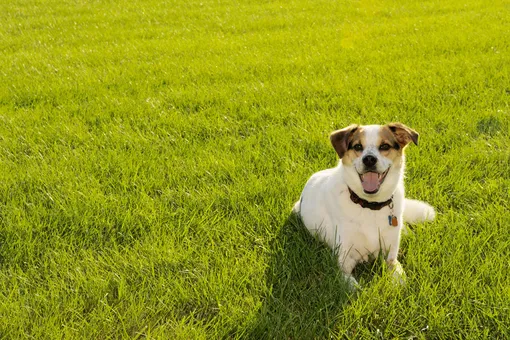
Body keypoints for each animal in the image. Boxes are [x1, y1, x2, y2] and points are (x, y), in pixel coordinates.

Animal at [294, 122, 434, 286]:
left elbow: (400, 277)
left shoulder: (391, 256)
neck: (370, 205)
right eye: (358, 146)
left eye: (384, 146)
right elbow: (352, 286)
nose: (369, 159)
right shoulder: (343, 262)